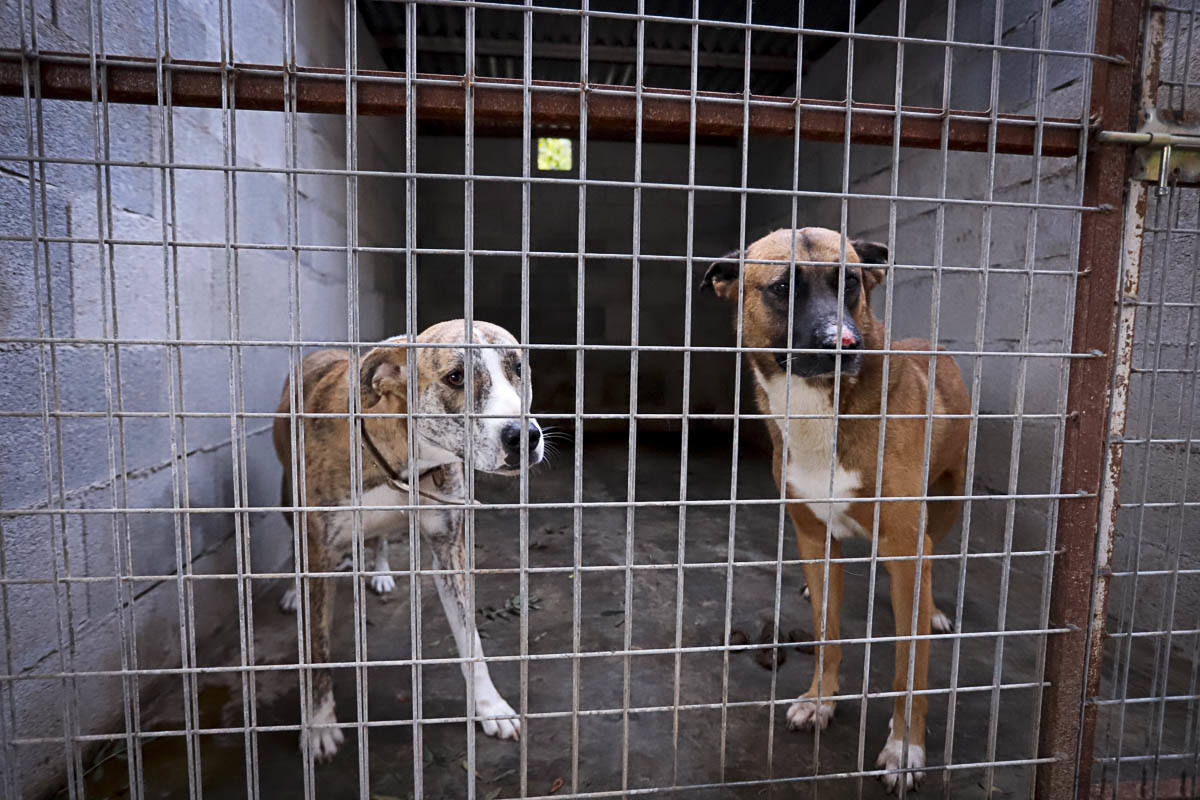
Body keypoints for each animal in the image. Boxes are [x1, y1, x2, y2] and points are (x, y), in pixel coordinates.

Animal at [272, 321, 544, 762]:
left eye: (518, 368)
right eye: (456, 377)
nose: (525, 436)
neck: (405, 459)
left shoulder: (450, 549)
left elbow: (471, 640)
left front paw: (491, 707)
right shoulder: (319, 553)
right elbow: (316, 650)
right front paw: (319, 726)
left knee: (380, 537)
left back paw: (381, 572)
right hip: (286, 497)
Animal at [700, 227, 969, 791]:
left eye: (851, 283)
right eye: (783, 287)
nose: (844, 344)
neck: (817, 409)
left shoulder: (905, 546)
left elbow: (909, 667)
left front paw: (904, 747)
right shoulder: (812, 538)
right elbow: (827, 633)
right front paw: (819, 700)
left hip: (948, 500)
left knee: (934, 551)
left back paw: (933, 609)